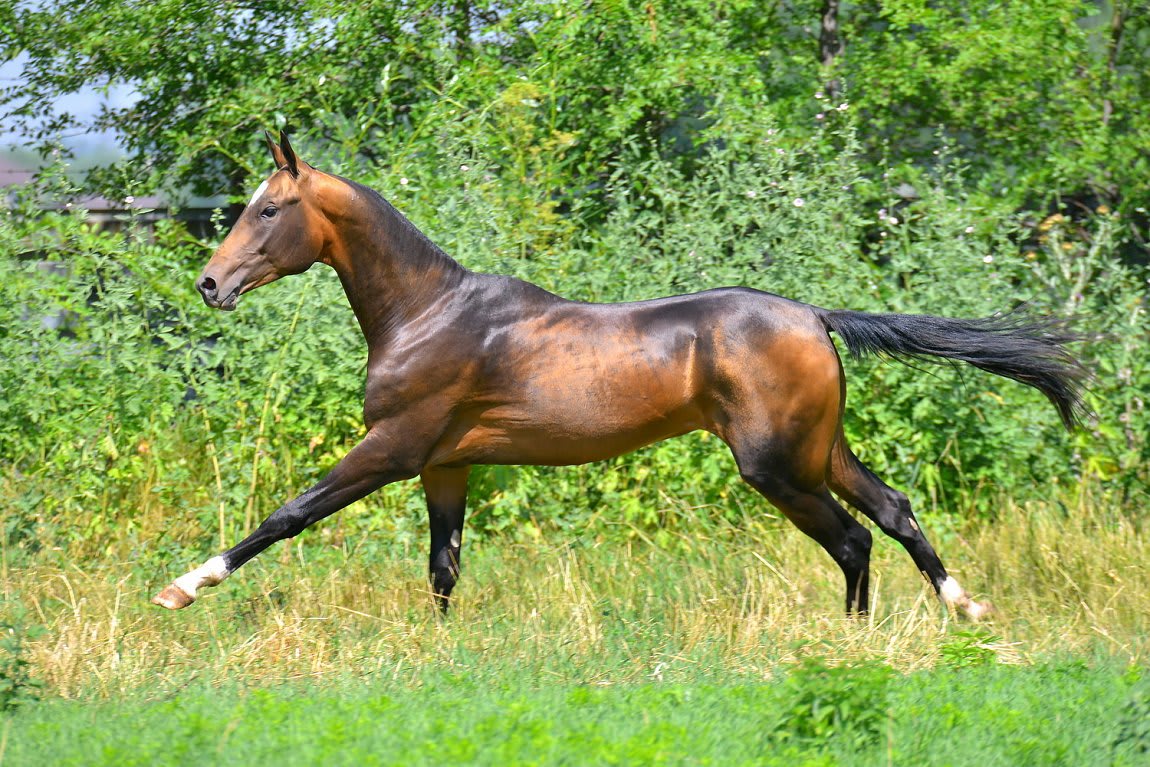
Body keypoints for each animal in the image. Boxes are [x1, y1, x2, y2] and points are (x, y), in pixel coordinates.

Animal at [153, 132, 1086, 620]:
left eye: (270, 208)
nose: (210, 284)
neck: (428, 313)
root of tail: (814, 316)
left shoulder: (395, 445)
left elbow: (290, 513)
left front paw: (184, 586)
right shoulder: (445, 463)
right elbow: (443, 565)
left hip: (776, 464)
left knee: (852, 537)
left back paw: (857, 638)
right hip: (817, 447)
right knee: (891, 510)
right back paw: (962, 609)